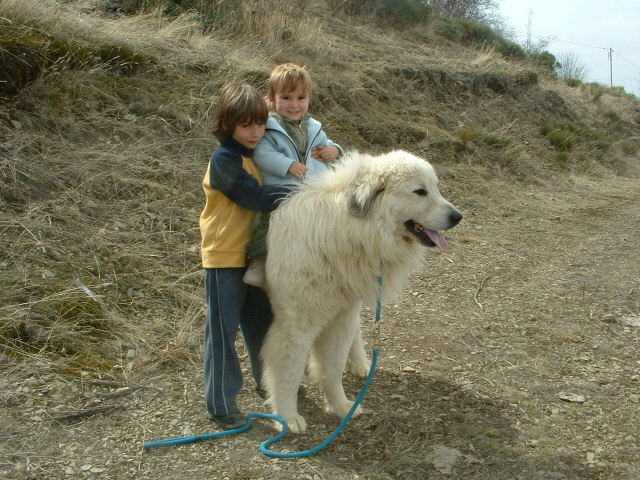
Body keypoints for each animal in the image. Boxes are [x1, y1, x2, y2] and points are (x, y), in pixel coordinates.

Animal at [262, 149, 462, 432]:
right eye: (420, 192)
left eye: (435, 188)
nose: (458, 217)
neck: (344, 230)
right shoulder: (295, 326)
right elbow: (288, 373)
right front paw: (288, 417)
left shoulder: (340, 316)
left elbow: (333, 367)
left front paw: (341, 407)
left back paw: (359, 363)